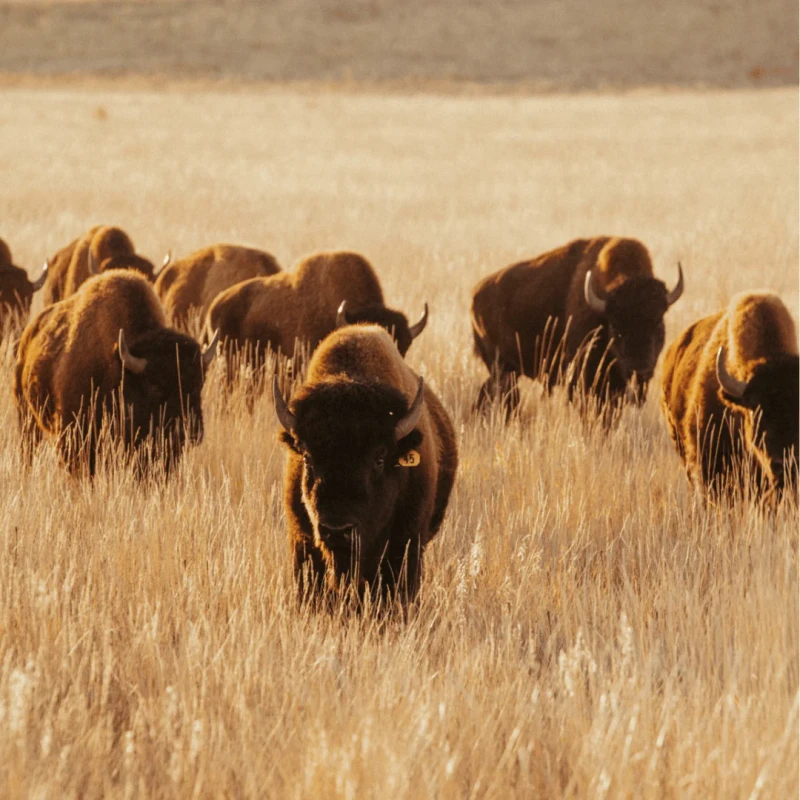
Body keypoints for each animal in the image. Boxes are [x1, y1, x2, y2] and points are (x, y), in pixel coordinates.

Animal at [15, 271, 218, 475]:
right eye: (154, 387)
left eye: (199, 385)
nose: (191, 431)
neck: (120, 370)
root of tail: (29, 334)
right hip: (27, 417)